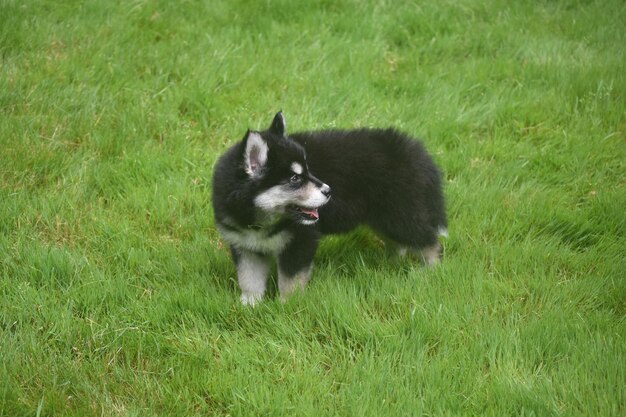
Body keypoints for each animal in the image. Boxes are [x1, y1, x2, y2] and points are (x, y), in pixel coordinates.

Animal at [212, 112, 446, 304]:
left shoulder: (300, 241)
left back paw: (432, 271)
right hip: (384, 218)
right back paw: (390, 262)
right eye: (295, 178)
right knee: (401, 243)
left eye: (307, 169)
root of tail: (419, 154)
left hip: (401, 215)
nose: (328, 190)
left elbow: (290, 281)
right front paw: (249, 306)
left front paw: (288, 307)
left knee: (429, 242)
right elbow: (249, 279)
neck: (259, 221)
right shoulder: (245, 246)